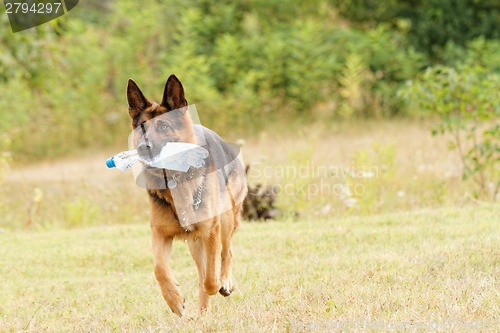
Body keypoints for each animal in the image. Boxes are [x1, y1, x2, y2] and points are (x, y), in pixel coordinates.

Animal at [127, 74, 248, 316]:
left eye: (164, 126)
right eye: (142, 127)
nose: (144, 147)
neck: (175, 180)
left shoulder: (211, 231)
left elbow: (210, 279)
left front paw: (217, 285)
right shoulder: (160, 234)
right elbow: (159, 269)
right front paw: (174, 299)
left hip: (226, 218)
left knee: (226, 253)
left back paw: (225, 282)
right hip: (195, 243)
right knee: (202, 270)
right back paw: (202, 313)